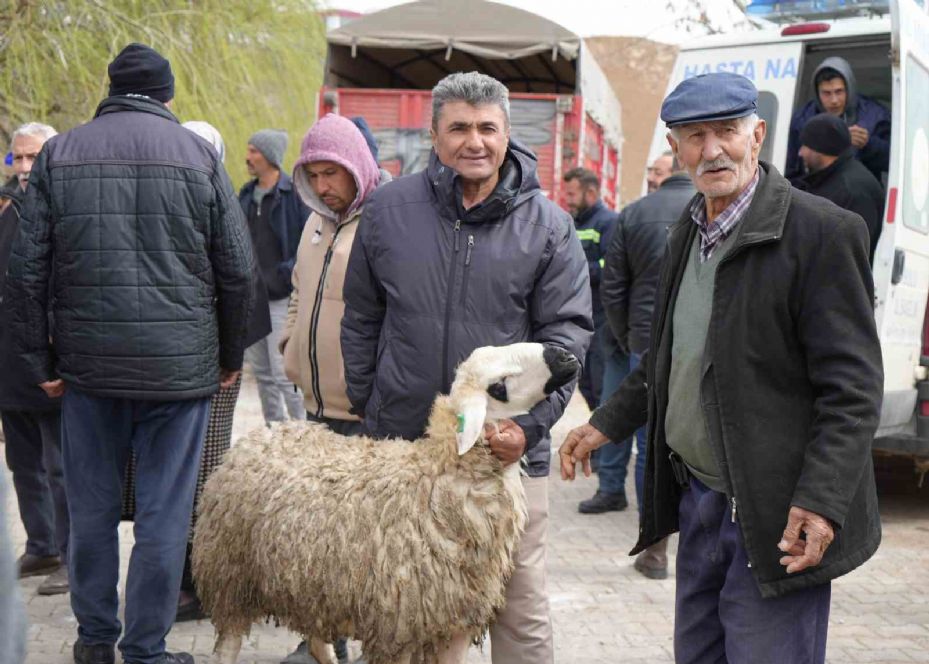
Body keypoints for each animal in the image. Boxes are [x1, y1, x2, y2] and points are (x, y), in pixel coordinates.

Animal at [191, 342, 576, 664]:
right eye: (500, 386)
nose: (565, 355)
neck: (440, 474)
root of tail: (264, 434)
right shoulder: (399, 626)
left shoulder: (452, 621)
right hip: (232, 576)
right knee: (229, 642)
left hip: (310, 582)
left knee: (316, 639)